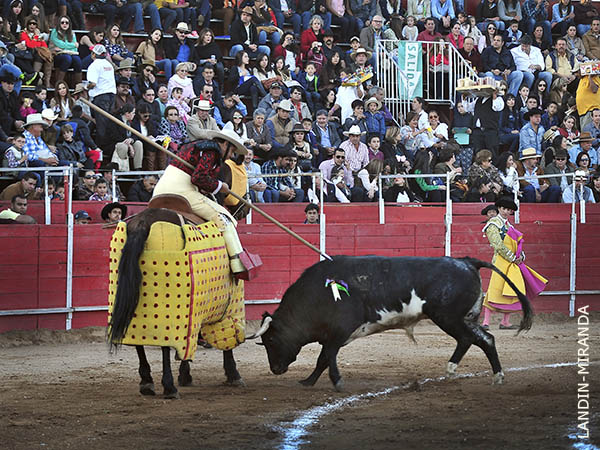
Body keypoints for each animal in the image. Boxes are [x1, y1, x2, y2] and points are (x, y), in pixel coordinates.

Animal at [108, 206, 246, 400]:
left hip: (131, 299)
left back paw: (146, 382)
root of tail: (142, 223)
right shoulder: (227, 307)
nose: (245, 210)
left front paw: (184, 375)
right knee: (165, 343)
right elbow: (226, 338)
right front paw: (233, 374)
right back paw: (169, 387)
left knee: (136, 338)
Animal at [250, 256, 536, 390]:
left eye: (271, 339)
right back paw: (494, 376)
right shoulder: (335, 336)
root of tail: (466, 261)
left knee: (470, 338)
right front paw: (309, 381)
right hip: (463, 318)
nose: (275, 369)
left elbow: (325, 358)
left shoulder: (338, 333)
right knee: (485, 339)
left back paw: (455, 369)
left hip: (448, 317)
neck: (318, 293)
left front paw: (333, 382)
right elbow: (324, 359)